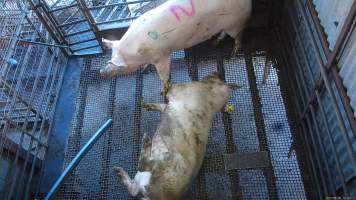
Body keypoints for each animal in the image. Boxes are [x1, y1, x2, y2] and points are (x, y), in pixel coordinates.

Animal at [100, 0, 250, 95]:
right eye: (110, 57)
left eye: (119, 66)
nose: (101, 72)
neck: (139, 52)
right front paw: (144, 69)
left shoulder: (162, 56)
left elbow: (164, 74)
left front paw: (162, 92)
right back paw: (216, 42)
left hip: (236, 23)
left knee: (239, 36)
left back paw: (233, 53)